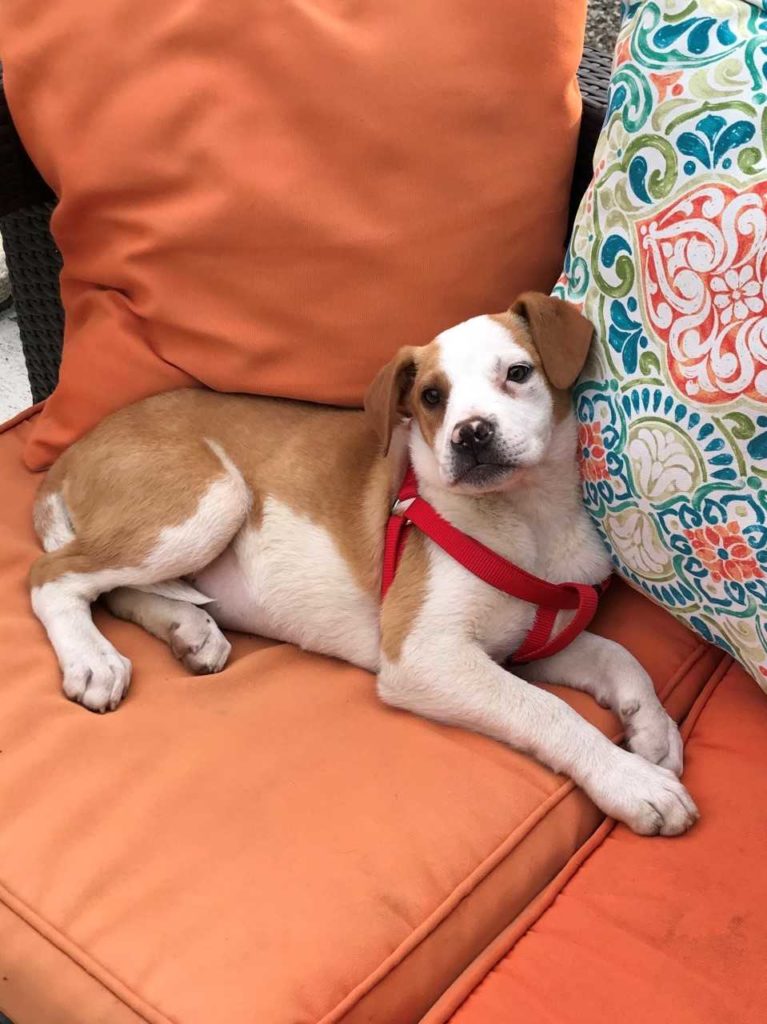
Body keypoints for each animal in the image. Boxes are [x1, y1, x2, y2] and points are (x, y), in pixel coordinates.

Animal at [29, 292, 696, 835]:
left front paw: (653, 729)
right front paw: (632, 781)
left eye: (518, 373)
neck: (526, 519)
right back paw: (93, 661)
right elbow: (548, 711)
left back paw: (187, 630)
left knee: (109, 587)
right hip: (214, 496)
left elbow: (619, 655)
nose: (471, 435)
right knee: (51, 577)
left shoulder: (528, 646)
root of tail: (71, 454)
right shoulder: (425, 655)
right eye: (431, 397)